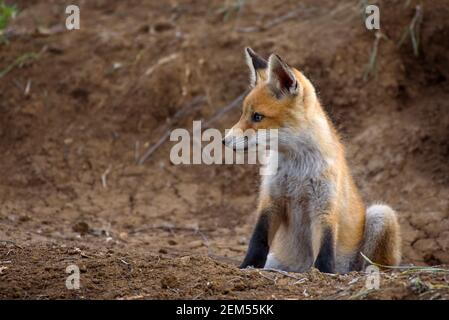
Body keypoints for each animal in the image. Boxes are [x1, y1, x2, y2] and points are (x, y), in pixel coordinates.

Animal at [222, 47, 400, 272]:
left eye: (257, 117)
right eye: (243, 114)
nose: (224, 140)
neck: (297, 168)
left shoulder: (324, 205)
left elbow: (325, 247)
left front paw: (322, 273)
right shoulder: (271, 199)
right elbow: (257, 240)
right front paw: (247, 266)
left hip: (382, 214)